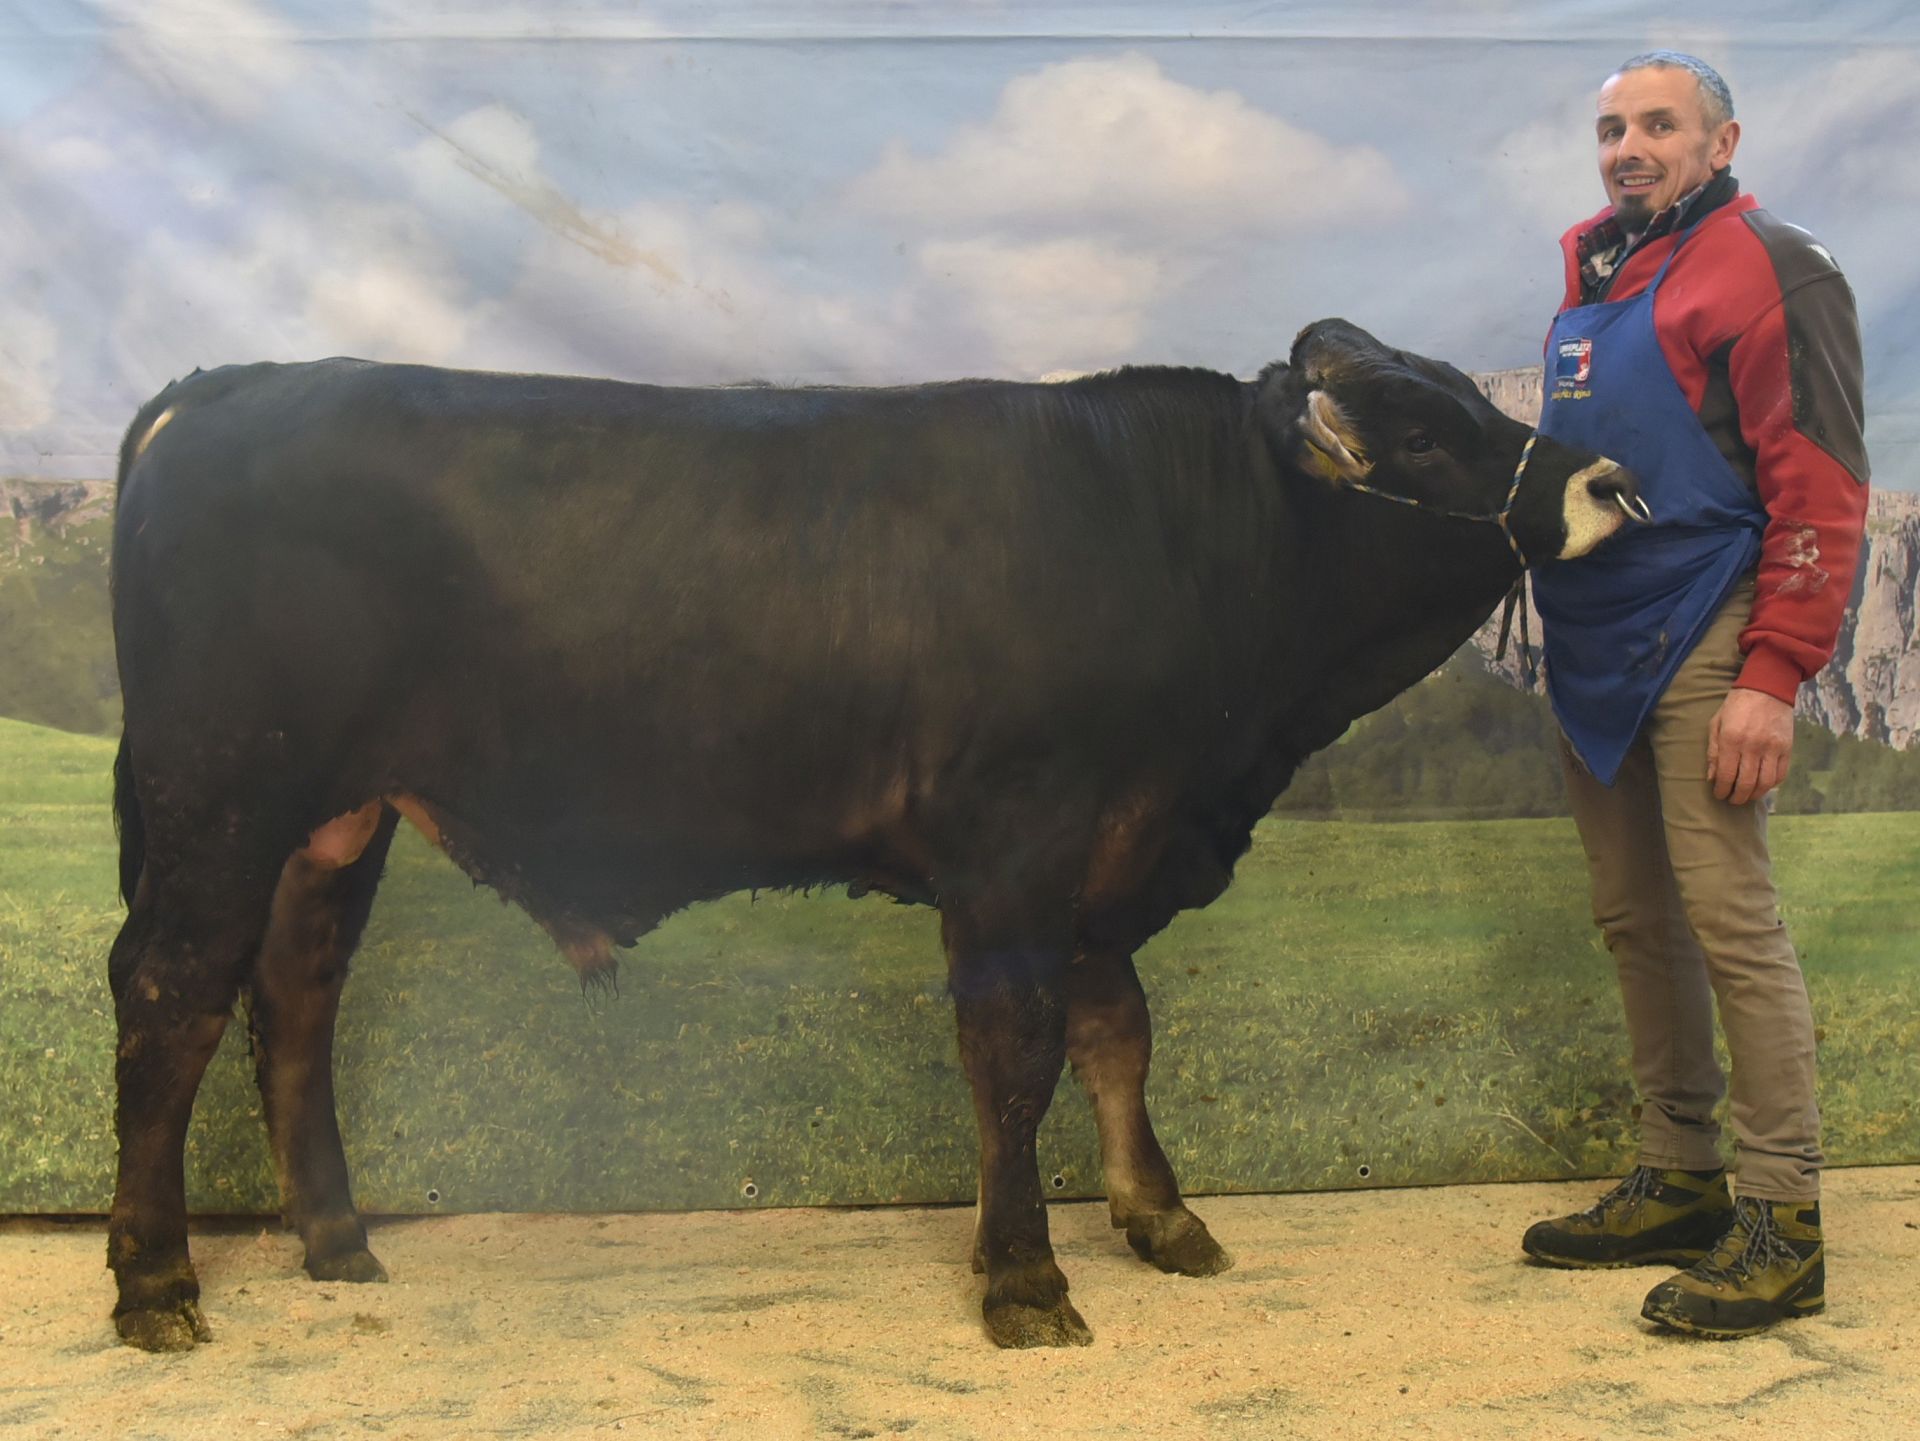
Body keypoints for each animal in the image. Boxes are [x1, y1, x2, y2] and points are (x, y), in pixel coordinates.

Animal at [103, 318, 1641, 1353]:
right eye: (1426, 433)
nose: (1612, 484)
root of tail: (221, 385)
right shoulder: (1019, 839)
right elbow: (1016, 1054)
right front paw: (1024, 1276)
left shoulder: (1105, 845)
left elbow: (1118, 1030)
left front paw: (1160, 1217)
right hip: (220, 793)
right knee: (171, 996)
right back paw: (155, 1281)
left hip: (329, 817)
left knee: (293, 994)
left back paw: (336, 1240)